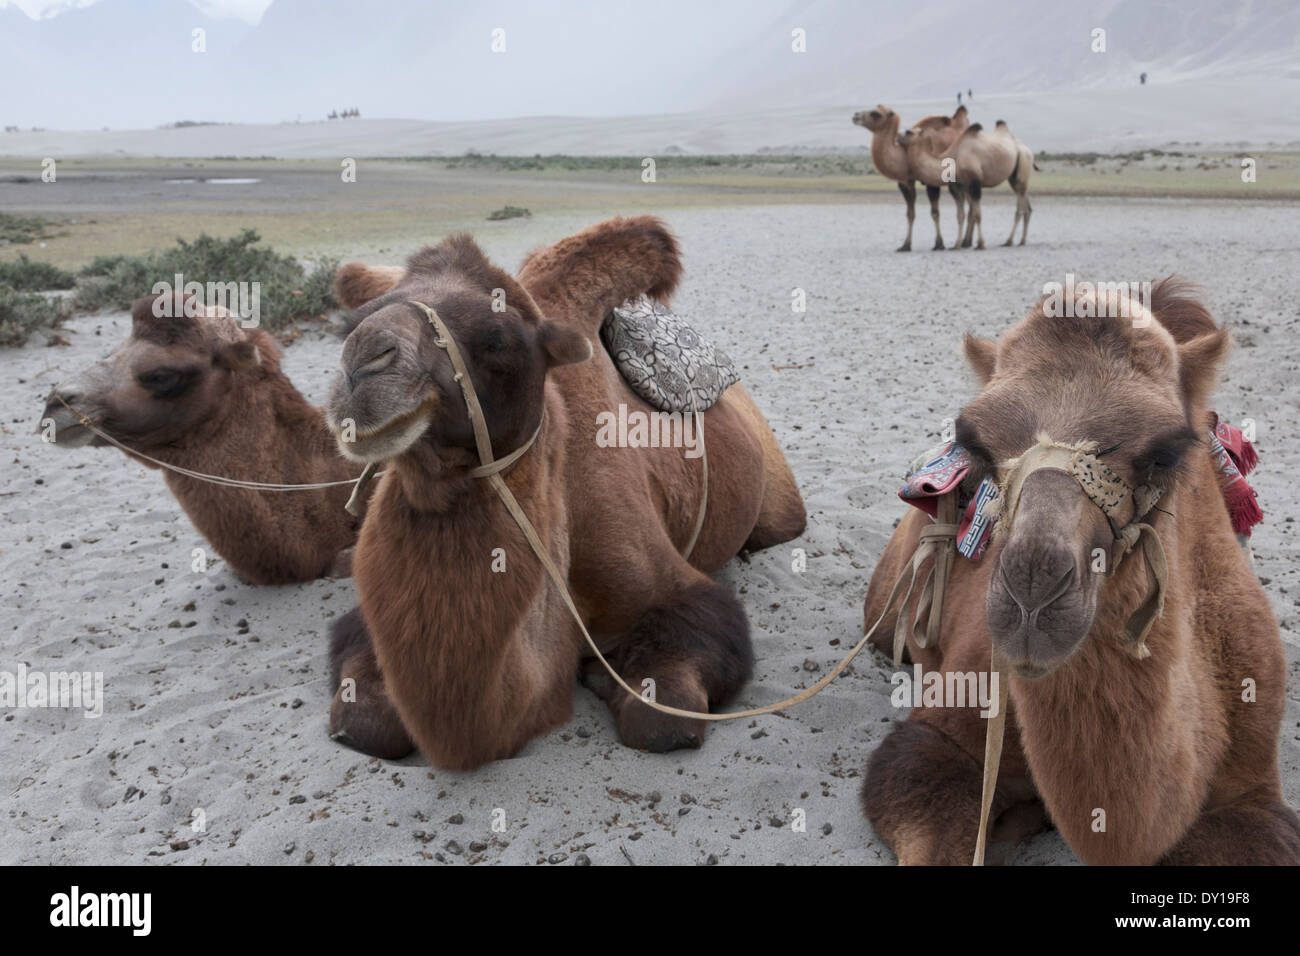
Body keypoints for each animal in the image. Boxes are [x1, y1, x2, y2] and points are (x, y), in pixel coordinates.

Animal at [321, 214, 806, 770]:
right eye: (351, 323)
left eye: (498, 339)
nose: (363, 363)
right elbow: (364, 720)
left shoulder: (657, 576)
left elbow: (665, 718)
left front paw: (605, 676)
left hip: (778, 497)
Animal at [847, 104, 972, 251]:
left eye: (876, 113)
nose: (856, 116)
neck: (905, 154)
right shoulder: (905, 182)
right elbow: (910, 214)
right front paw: (905, 245)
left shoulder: (931, 181)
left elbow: (935, 213)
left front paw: (938, 244)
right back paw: (966, 241)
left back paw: (966, 242)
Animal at [904, 119, 1034, 251]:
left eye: (909, 132)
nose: (900, 137)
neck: (954, 159)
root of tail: (1026, 149)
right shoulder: (958, 186)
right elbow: (960, 215)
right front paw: (956, 245)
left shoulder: (975, 183)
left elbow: (977, 214)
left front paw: (980, 244)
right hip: (1014, 176)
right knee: (1026, 203)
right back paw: (1022, 240)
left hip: (1024, 162)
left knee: (1020, 207)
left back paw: (1010, 241)